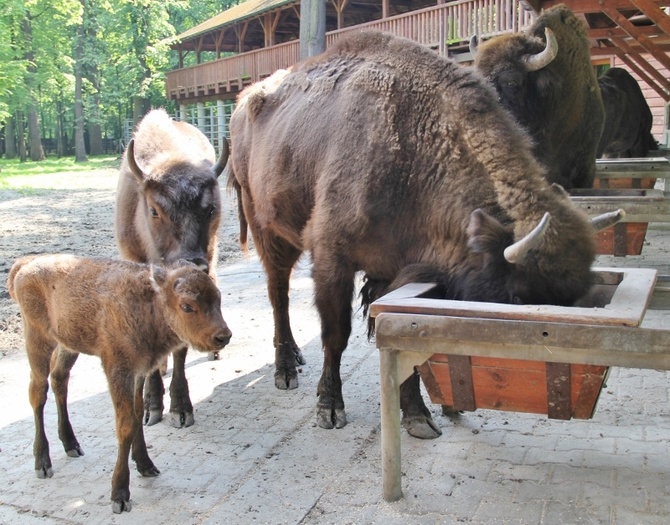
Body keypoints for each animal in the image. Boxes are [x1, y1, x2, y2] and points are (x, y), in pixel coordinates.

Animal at [5, 254, 234, 512]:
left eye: (218, 298)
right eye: (187, 306)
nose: (223, 336)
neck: (149, 304)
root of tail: (25, 264)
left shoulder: (140, 372)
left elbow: (137, 414)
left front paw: (146, 466)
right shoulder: (118, 371)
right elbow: (125, 425)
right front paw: (119, 494)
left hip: (68, 345)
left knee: (59, 379)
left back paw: (71, 444)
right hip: (37, 340)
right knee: (37, 391)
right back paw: (43, 463)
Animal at [117, 108, 230, 428]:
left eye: (210, 208)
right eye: (154, 210)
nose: (192, 262)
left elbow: (181, 342)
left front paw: (180, 408)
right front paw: (151, 406)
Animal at [230, 30, 624, 436]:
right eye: (517, 296)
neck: (413, 148)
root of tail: (243, 104)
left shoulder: (397, 273)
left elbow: (405, 347)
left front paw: (418, 416)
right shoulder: (331, 258)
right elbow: (335, 335)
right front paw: (330, 409)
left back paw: (294, 357)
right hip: (265, 228)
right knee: (278, 294)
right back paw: (286, 370)